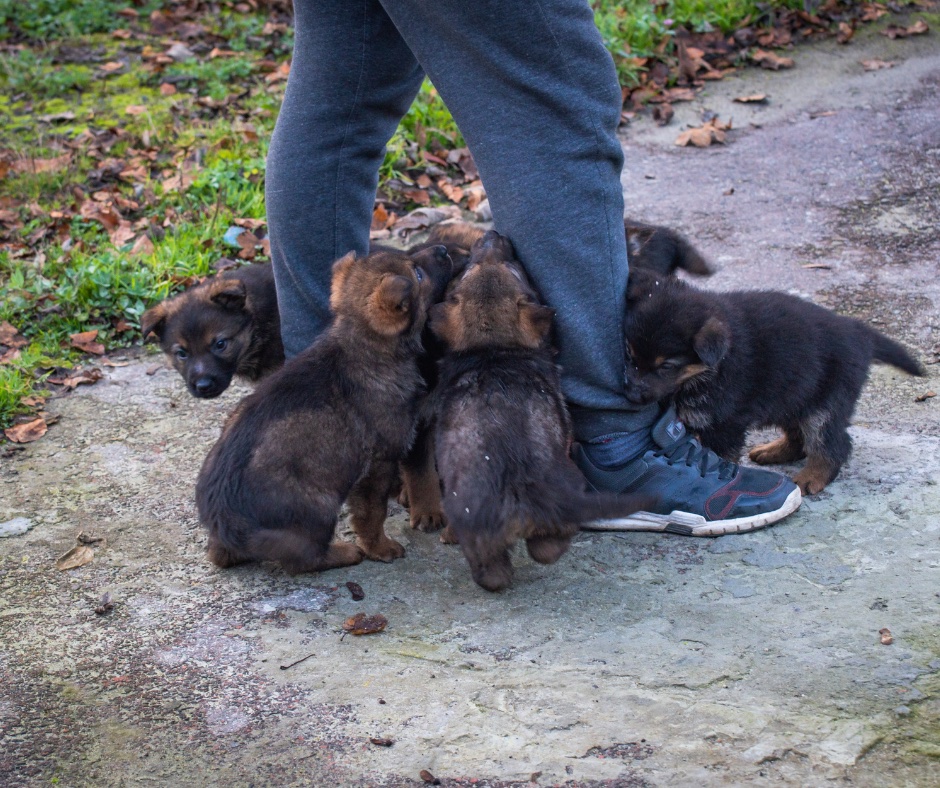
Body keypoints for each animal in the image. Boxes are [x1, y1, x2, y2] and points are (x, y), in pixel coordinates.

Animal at [196, 246, 454, 572]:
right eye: (418, 274)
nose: (444, 249)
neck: (362, 343)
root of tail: (226, 525)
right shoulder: (377, 464)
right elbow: (373, 513)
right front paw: (380, 548)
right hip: (318, 507)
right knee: (303, 557)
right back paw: (343, 552)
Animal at [428, 234, 652, 592]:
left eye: (468, 269)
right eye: (513, 267)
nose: (491, 235)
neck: (492, 347)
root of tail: (517, 489)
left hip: (474, 519)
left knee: (494, 568)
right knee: (546, 547)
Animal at [624, 270, 924, 492]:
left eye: (666, 366)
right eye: (629, 354)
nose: (632, 395)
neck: (710, 368)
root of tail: (858, 331)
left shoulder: (724, 422)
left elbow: (720, 454)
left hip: (825, 402)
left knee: (832, 443)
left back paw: (811, 478)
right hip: (794, 394)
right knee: (798, 435)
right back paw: (774, 451)